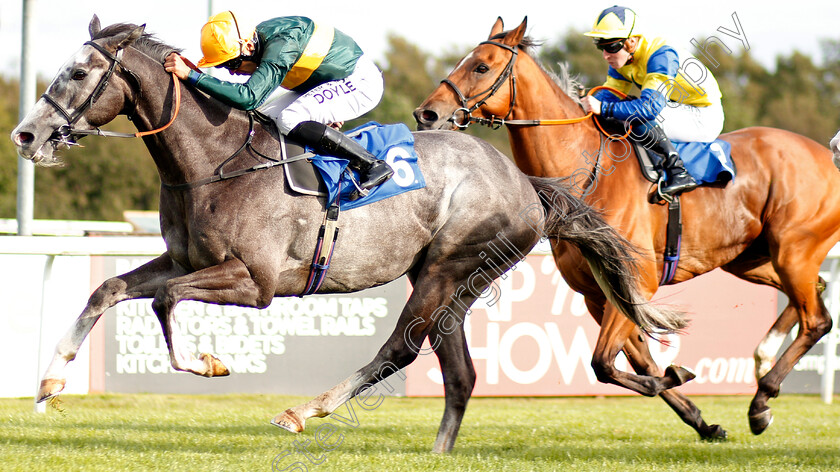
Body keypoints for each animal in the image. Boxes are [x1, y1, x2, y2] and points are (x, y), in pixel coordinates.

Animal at [8, 17, 684, 454]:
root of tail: (524, 184)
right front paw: (47, 384)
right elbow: (111, 290)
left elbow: (166, 302)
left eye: (77, 72)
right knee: (459, 372)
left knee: (401, 349)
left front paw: (209, 362)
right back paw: (436, 452)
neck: (212, 161)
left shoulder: (254, 282)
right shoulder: (182, 259)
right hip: (449, 280)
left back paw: (307, 409)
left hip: (449, 267)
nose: (25, 135)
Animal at [412, 17, 840, 438]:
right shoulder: (598, 295)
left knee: (817, 319)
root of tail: (826, 154)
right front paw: (700, 418)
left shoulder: (638, 279)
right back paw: (764, 359)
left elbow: (604, 363)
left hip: (793, 250)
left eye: (481, 67)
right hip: (751, 259)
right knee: (814, 294)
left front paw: (681, 381)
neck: (587, 171)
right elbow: (639, 364)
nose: (427, 114)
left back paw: (761, 399)